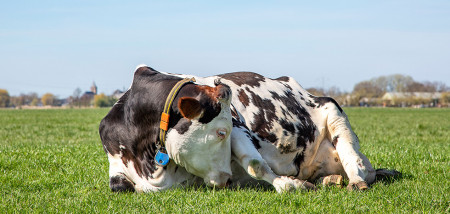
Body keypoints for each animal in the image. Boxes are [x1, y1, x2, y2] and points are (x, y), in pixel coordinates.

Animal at [98, 64, 398, 193]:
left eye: (225, 131)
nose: (227, 179)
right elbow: (118, 187)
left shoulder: (240, 127)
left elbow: (255, 164)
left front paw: (289, 184)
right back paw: (330, 179)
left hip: (333, 111)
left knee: (351, 156)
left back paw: (355, 179)